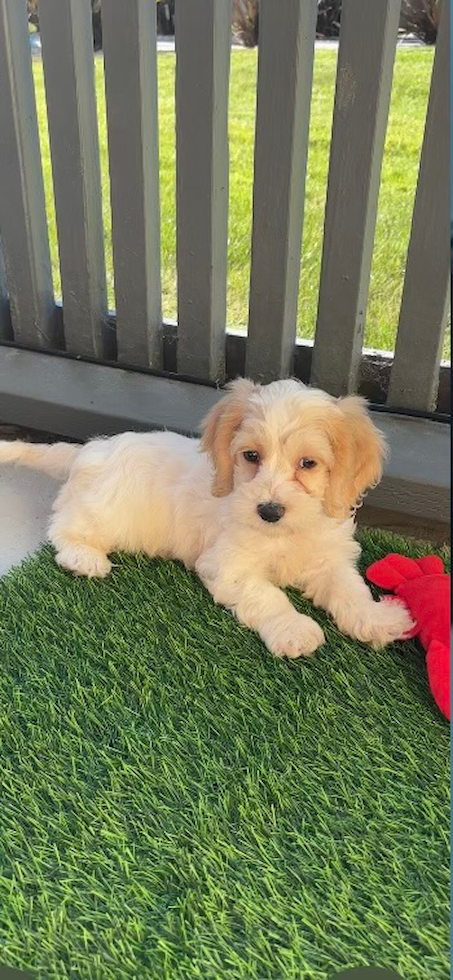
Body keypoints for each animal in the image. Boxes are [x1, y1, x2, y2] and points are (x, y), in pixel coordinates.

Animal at [0, 380, 412, 660]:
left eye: (308, 463)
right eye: (251, 456)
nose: (269, 510)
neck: (286, 533)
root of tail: (87, 450)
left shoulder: (330, 559)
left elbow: (350, 590)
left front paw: (378, 619)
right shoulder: (228, 567)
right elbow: (269, 595)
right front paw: (294, 629)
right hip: (102, 513)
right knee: (63, 527)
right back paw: (84, 559)